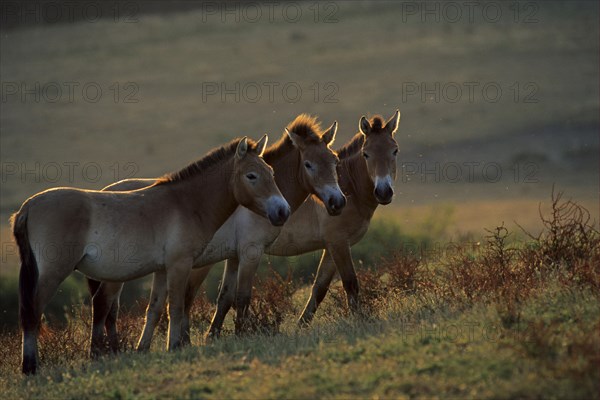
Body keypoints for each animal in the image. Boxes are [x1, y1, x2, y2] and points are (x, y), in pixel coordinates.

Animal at [11, 135, 288, 376]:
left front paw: (147, 348)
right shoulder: (180, 265)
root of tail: (28, 206)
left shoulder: (162, 270)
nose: (282, 211)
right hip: (53, 274)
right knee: (33, 313)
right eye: (251, 176)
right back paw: (30, 367)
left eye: (272, 173)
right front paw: (174, 346)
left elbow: (155, 308)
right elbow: (175, 306)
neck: (186, 203)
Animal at [86, 115, 344, 354]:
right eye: (309, 164)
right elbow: (242, 297)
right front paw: (241, 335)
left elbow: (225, 298)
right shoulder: (250, 253)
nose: (338, 201)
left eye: (335, 161)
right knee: (104, 304)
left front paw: (211, 336)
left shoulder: (233, 257)